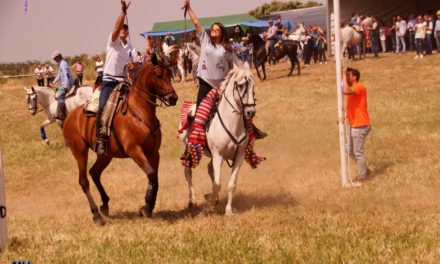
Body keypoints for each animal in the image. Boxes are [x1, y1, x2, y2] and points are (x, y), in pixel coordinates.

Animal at [180, 62, 258, 217]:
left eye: (253, 85)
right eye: (241, 85)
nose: (250, 112)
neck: (232, 123)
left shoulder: (239, 157)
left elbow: (231, 184)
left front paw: (227, 210)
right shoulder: (218, 155)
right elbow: (217, 184)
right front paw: (212, 203)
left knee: (209, 168)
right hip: (189, 148)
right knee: (188, 172)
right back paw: (192, 201)